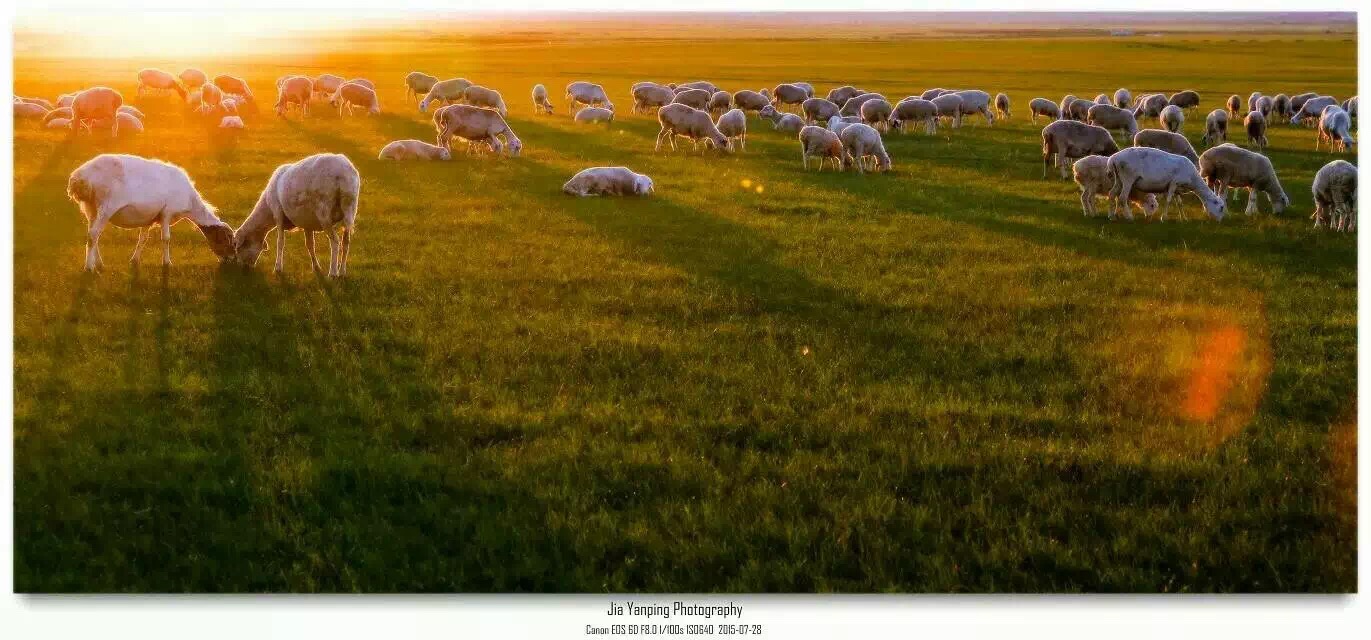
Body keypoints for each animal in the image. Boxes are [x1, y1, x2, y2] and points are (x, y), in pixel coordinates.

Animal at [65, 154, 235, 271]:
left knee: (93, 235)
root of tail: (79, 177)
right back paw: (89, 267)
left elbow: (143, 239)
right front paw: (167, 263)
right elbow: (166, 239)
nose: (231, 259)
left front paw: (134, 261)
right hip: (107, 206)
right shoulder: (167, 212)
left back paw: (99, 264)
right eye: (229, 240)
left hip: (90, 207)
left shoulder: (149, 218)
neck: (191, 204)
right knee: (94, 235)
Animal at [235, 155, 364, 278]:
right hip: (351, 209)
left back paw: (333, 273)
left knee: (335, 241)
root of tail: (344, 174)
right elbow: (310, 245)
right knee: (346, 242)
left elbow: (280, 242)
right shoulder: (307, 223)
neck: (267, 211)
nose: (243, 268)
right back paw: (342, 272)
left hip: (324, 211)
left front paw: (278, 268)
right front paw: (316, 267)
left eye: (238, 247)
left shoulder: (278, 213)